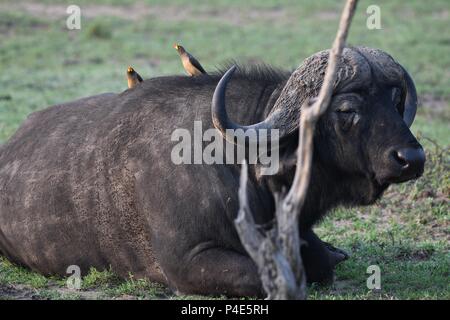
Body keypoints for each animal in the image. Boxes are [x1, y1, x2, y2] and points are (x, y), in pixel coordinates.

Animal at [0, 47, 424, 298]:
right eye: (346, 109)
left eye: (393, 99)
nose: (412, 157)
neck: (244, 163)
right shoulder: (188, 262)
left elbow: (319, 262)